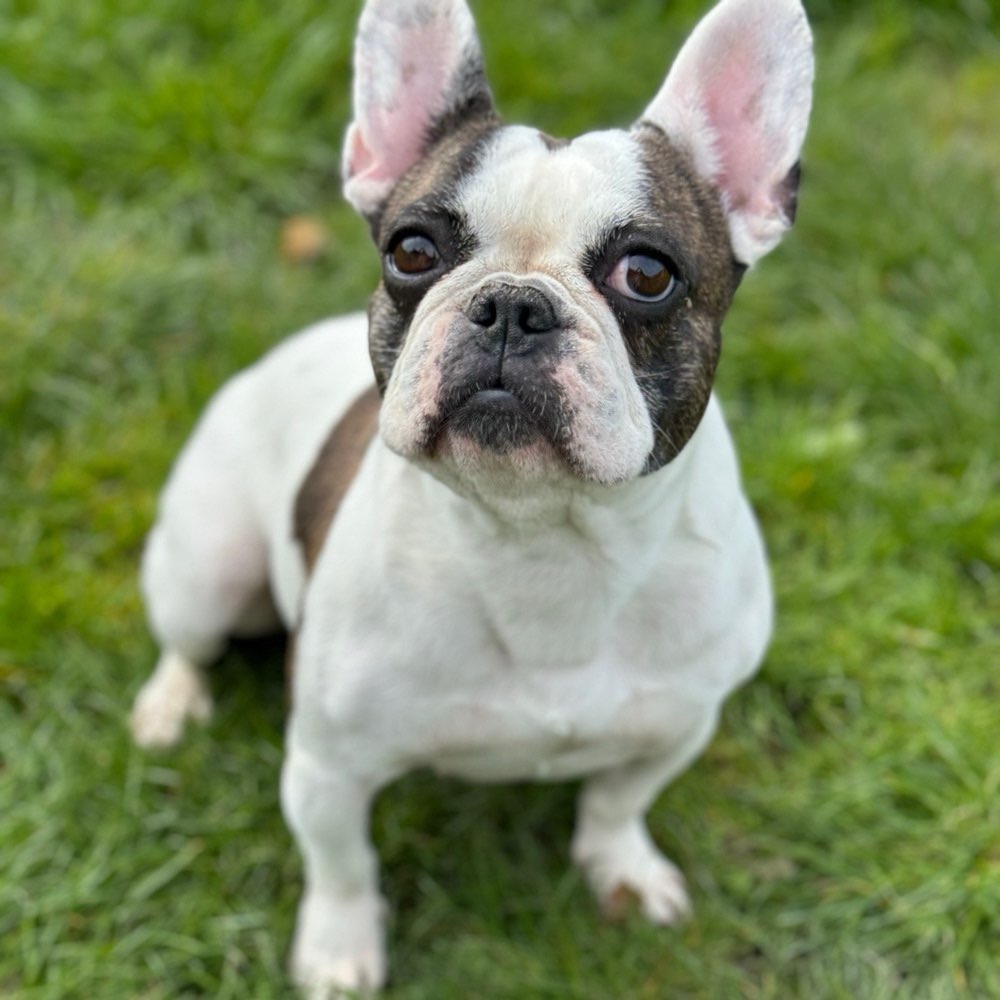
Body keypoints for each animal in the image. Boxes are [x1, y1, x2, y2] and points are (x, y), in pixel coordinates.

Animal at [129, 0, 812, 992]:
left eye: (648, 273)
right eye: (411, 251)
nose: (513, 305)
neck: (544, 537)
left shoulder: (679, 723)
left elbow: (618, 800)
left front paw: (621, 869)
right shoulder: (326, 767)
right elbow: (342, 863)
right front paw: (339, 951)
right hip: (209, 566)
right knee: (188, 641)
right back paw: (170, 708)